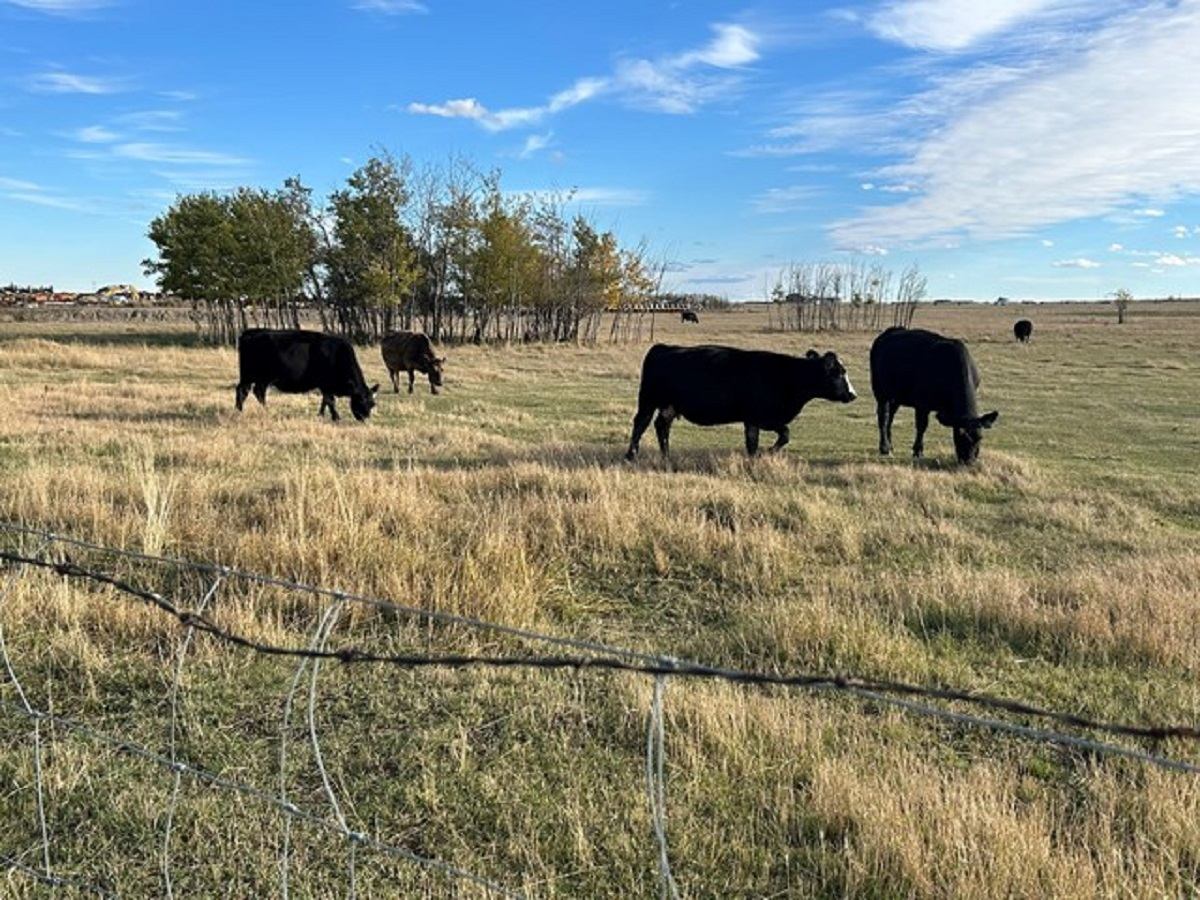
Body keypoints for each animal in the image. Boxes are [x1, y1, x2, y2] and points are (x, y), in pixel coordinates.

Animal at [235, 329, 378, 422]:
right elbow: (330, 400)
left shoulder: (326, 386)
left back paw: (264, 409)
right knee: (243, 391)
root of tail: (250, 333)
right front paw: (336, 417)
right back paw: (240, 411)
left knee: (258, 392)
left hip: (262, 378)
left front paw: (321, 415)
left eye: (372, 404)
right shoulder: (325, 384)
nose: (365, 419)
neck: (338, 354)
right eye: (360, 401)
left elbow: (325, 401)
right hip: (249, 376)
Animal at [625, 344, 857, 460]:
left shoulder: (759, 419)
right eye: (838, 373)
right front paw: (763, 455)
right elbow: (770, 438)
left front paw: (758, 458)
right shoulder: (758, 416)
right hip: (648, 399)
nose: (853, 394)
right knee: (641, 423)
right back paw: (631, 455)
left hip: (670, 405)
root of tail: (662, 347)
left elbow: (774, 437)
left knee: (661, 426)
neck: (786, 376)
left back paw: (666, 456)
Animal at [870, 326, 998, 464]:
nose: (968, 460)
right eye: (958, 435)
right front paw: (918, 451)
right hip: (881, 392)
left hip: (895, 397)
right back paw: (884, 447)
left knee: (890, 417)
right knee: (883, 417)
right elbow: (921, 426)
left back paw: (890, 446)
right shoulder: (922, 404)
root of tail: (891, 331)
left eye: (980, 437)